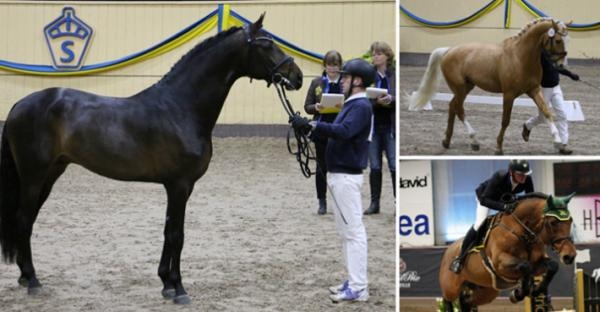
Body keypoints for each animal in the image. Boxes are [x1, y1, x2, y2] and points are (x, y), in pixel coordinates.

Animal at [0, 15, 302, 304]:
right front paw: (179, 289)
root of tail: (18, 105)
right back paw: (33, 281)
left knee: (26, 220)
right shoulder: (179, 185)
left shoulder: (180, 187)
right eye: (266, 44)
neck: (180, 108)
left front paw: (166, 284)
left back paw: (25, 277)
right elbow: (177, 235)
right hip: (34, 176)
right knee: (24, 219)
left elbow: (169, 231)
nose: (296, 76)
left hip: (51, 174)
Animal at [410, 17, 568, 154]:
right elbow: (505, 121)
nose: (561, 65)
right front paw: (498, 148)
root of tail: (448, 51)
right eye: (558, 40)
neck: (520, 57)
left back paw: (447, 141)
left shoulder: (533, 90)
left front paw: (558, 141)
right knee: (459, 110)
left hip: (466, 87)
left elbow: (546, 112)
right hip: (460, 88)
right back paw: (474, 140)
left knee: (452, 106)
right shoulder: (509, 95)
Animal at [438, 194, 580, 310]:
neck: (523, 233)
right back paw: (456, 265)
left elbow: (552, 266)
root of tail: (448, 250)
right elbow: (525, 266)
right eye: (553, 222)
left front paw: (534, 290)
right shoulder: (500, 263)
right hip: (451, 287)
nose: (569, 256)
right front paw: (520, 292)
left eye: (571, 221)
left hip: (486, 291)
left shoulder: (537, 263)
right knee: (447, 300)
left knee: (466, 302)